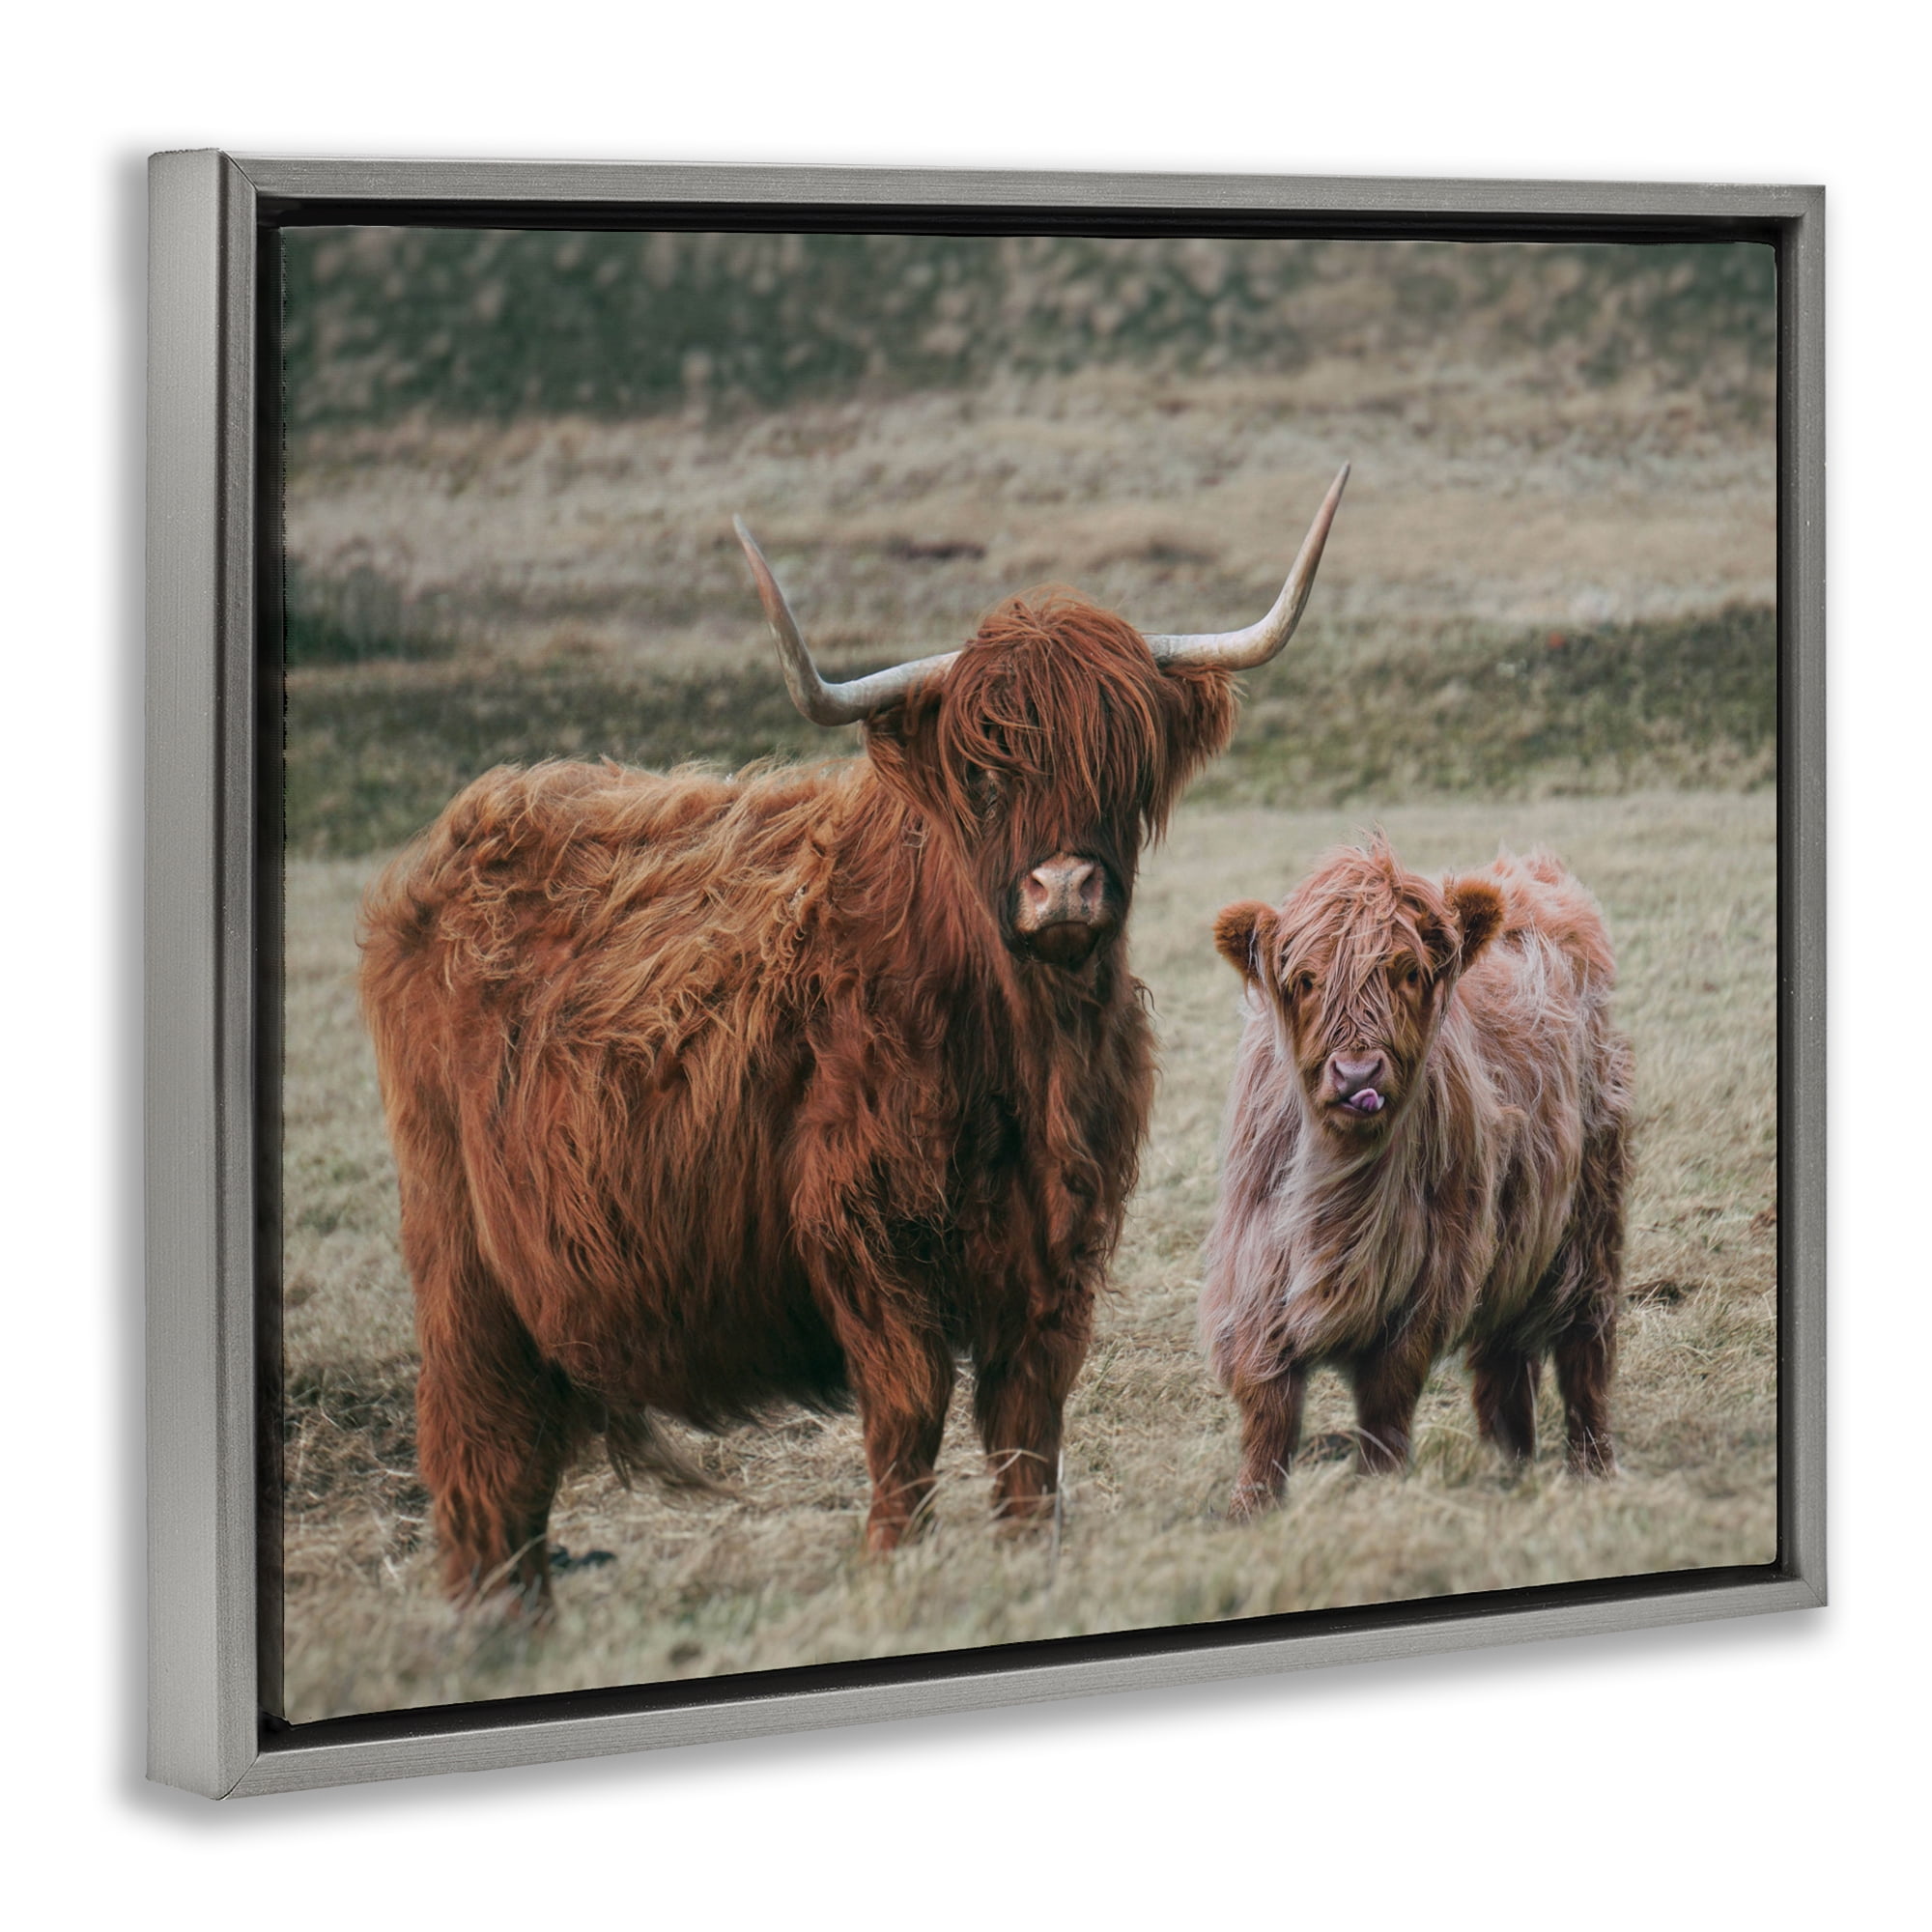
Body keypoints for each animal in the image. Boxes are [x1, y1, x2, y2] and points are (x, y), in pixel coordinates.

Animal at [359, 468, 1351, 1611]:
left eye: (1123, 760)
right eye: (982, 772)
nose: (1063, 888)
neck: (1021, 1050)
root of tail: (465, 828)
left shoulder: (1057, 1244)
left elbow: (1027, 1421)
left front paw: (1028, 1559)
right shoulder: (864, 1229)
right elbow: (908, 1408)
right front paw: (889, 1565)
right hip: (460, 1251)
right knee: (479, 1442)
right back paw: (496, 1618)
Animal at [1200, 835, 1632, 1519]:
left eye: (1407, 972)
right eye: (1306, 980)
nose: (1357, 1075)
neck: (1344, 1189)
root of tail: (1529, 871)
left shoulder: (1427, 1280)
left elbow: (1385, 1399)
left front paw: (1377, 1489)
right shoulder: (1257, 1271)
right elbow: (1268, 1406)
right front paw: (1251, 1507)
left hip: (1592, 1212)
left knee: (1585, 1344)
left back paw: (1591, 1469)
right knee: (1505, 1358)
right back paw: (1509, 1466)